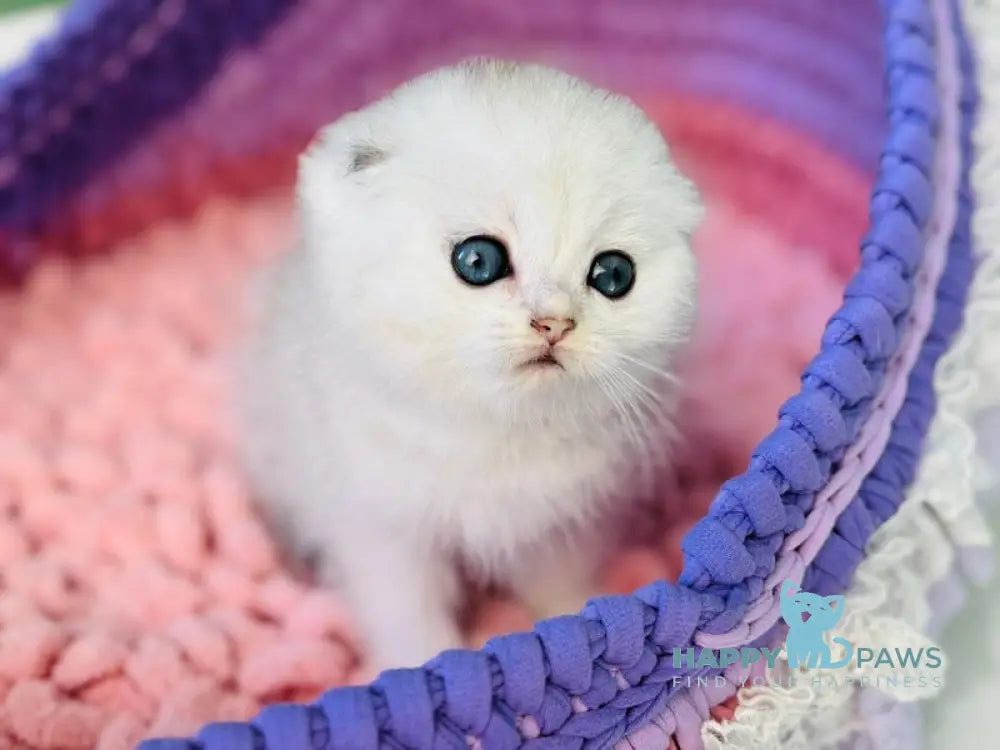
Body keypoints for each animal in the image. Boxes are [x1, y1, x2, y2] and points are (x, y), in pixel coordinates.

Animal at [240, 57, 704, 668]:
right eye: (478, 260)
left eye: (612, 274)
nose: (554, 323)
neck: (495, 428)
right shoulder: (380, 531)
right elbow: (407, 613)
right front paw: (420, 671)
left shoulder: (558, 525)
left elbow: (557, 587)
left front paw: (577, 642)